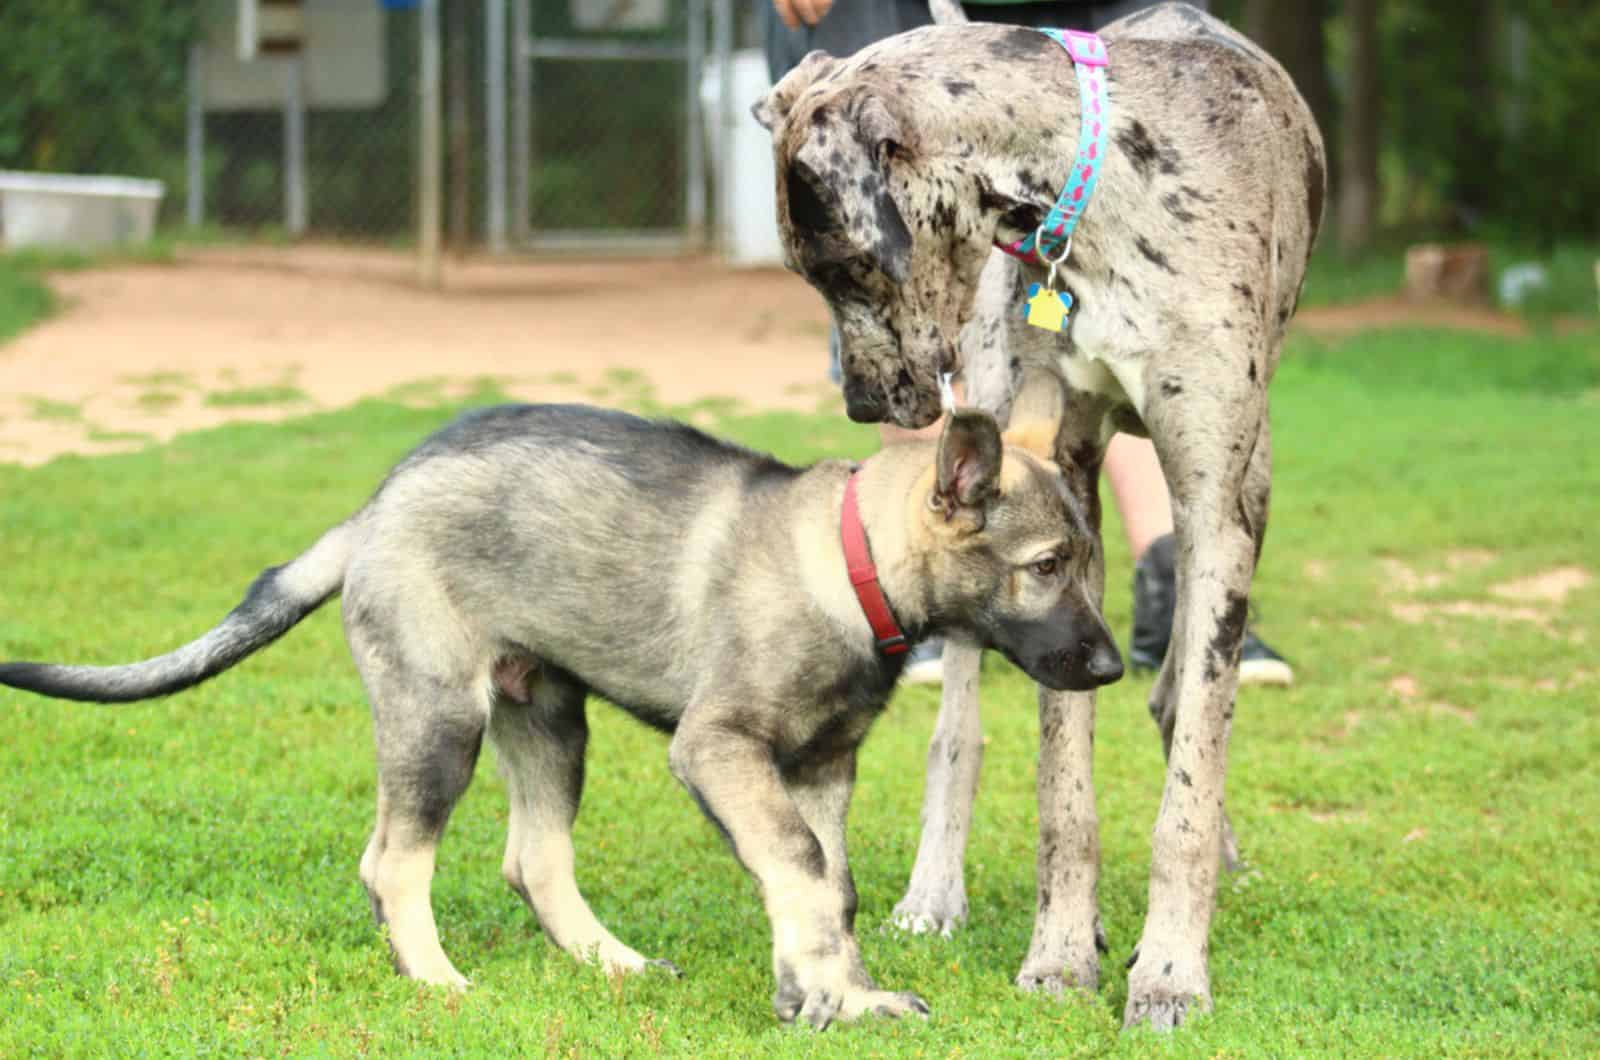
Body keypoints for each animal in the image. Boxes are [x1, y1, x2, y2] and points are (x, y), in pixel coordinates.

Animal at [0, 400, 1120, 1031]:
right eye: (1045, 567)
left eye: (1085, 563)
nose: (1111, 666)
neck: (850, 563)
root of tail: (374, 508)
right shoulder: (719, 749)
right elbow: (801, 871)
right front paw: (835, 1000)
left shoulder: (818, 767)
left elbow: (826, 888)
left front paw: (826, 990)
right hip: (440, 722)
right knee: (393, 862)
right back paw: (435, 979)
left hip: (546, 716)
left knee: (531, 858)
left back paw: (611, 964)